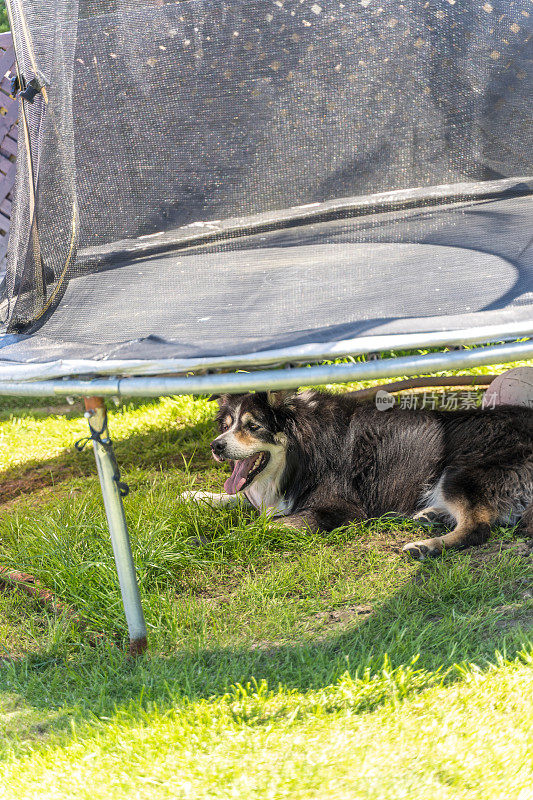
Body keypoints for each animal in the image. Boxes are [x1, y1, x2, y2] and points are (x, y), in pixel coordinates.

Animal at [181, 390, 528, 560]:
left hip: (460, 472)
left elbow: (261, 526)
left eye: (253, 426)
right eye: (226, 426)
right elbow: (242, 500)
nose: (216, 446)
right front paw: (196, 495)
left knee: (479, 526)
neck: (302, 448)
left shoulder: (339, 509)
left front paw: (205, 540)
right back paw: (430, 516)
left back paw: (427, 546)